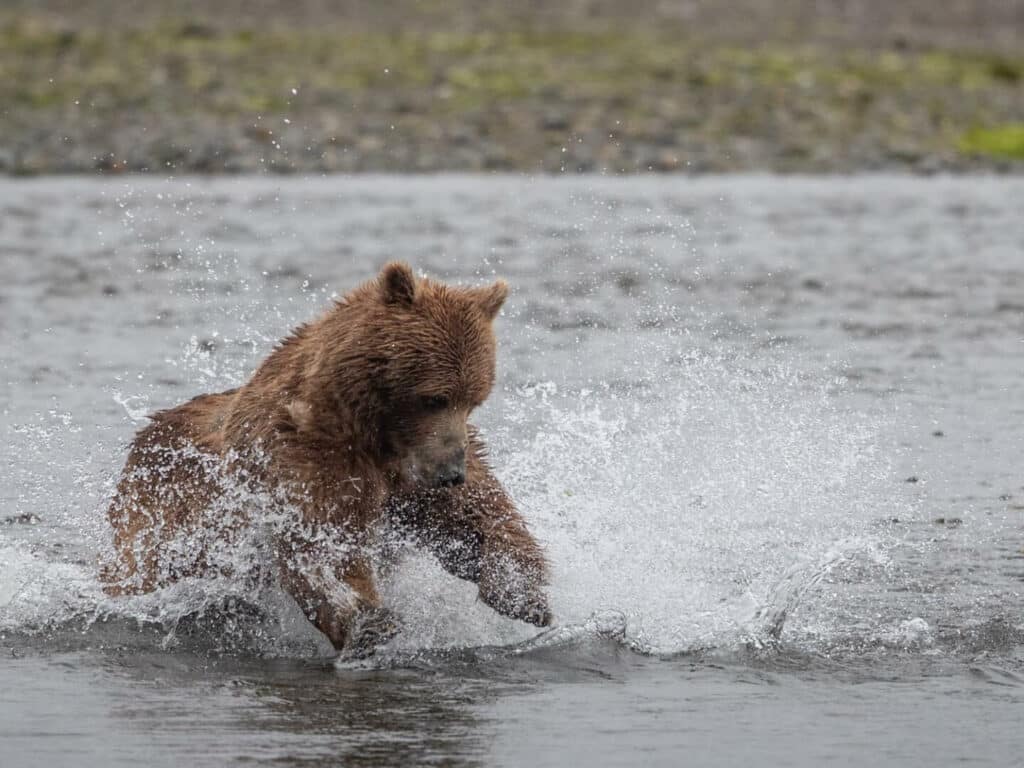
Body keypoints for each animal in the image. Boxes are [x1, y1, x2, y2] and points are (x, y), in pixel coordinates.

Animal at [102, 262, 552, 655]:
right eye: (434, 398)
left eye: (474, 399)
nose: (450, 472)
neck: (372, 429)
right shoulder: (309, 458)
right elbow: (325, 540)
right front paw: (369, 620)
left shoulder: (413, 470)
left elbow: (474, 517)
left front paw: (521, 592)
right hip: (159, 516)